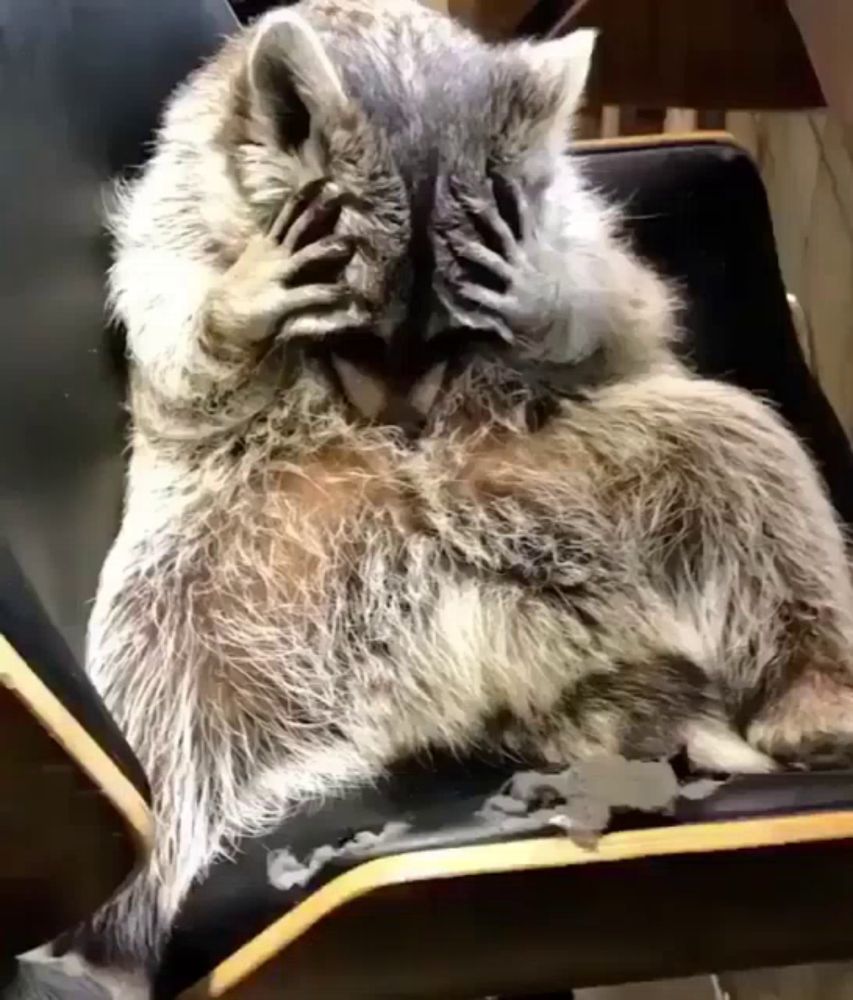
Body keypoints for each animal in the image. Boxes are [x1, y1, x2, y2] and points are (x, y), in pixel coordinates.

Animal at [55, 0, 852, 984]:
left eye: (455, 339)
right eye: (351, 338)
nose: (403, 425)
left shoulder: (565, 217)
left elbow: (631, 311)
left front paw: (552, 301)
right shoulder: (168, 216)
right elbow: (178, 357)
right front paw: (230, 313)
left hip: (578, 478)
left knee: (735, 451)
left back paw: (811, 683)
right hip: (205, 582)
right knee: (159, 714)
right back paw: (128, 906)